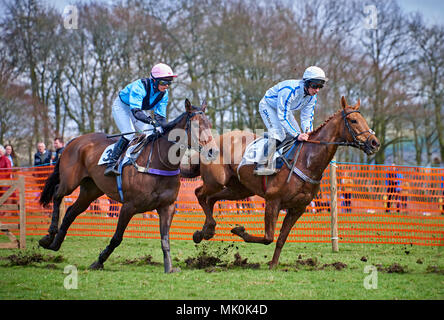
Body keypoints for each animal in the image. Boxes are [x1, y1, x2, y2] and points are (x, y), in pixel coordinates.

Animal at [38, 98, 219, 272]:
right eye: (195, 125)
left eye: (209, 125)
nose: (213, 151)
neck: (160, 162)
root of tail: (75, 140)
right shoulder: (128, 206)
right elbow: (117, 238)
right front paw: (98, 262)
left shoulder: (167, 207)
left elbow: (165, 239)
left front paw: (169, 268)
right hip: (70, 182)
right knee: (57, 194)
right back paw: (50, 235)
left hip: (91, 190)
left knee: (70, 212)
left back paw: (54, 243)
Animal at [182, 96, 380, 268]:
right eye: (353, 120)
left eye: (363, 119)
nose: (374, 143)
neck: (306, 160)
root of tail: (209, 143)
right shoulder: (273, 201)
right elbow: (268, 237)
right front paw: (239, 231)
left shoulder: (298, 208)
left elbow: (281, 239)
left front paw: (273, 264)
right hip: (216, 181)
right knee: (199, 193)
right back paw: (205, 231)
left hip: (240, 190)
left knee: (211, 199)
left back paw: (205, 231)